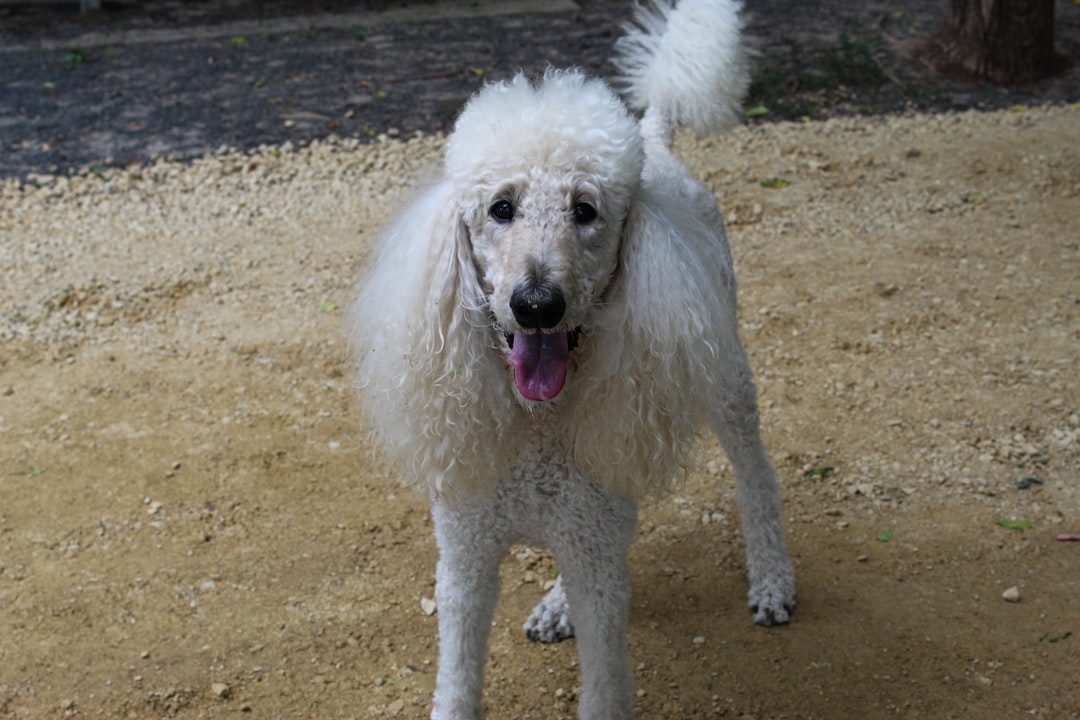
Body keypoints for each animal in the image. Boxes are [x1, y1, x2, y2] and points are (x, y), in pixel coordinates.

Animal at [349, 0, 799, 716]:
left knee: (755, 472)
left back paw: (773, 580)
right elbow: (457, 681)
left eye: (585, 210)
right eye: (501, 208)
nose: (537, 305)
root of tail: (655, 136)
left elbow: (605, 685)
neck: (539, 423)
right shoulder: (466, 558)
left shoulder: (596, 556)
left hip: (724, 374)